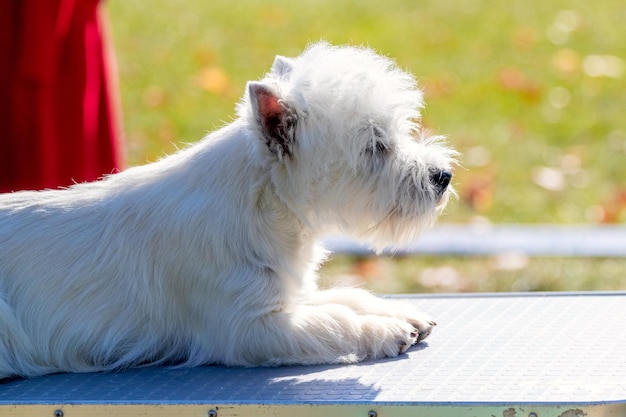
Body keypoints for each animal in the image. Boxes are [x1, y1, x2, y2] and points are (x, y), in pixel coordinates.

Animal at [2, 42, 456, 376]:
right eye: (376, 145)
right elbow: (334, 320)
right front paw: (385, 329)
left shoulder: (283, 293)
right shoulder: (249, 327)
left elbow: (342, 296)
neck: (266, 208)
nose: (443, 176)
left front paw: (400, 312)